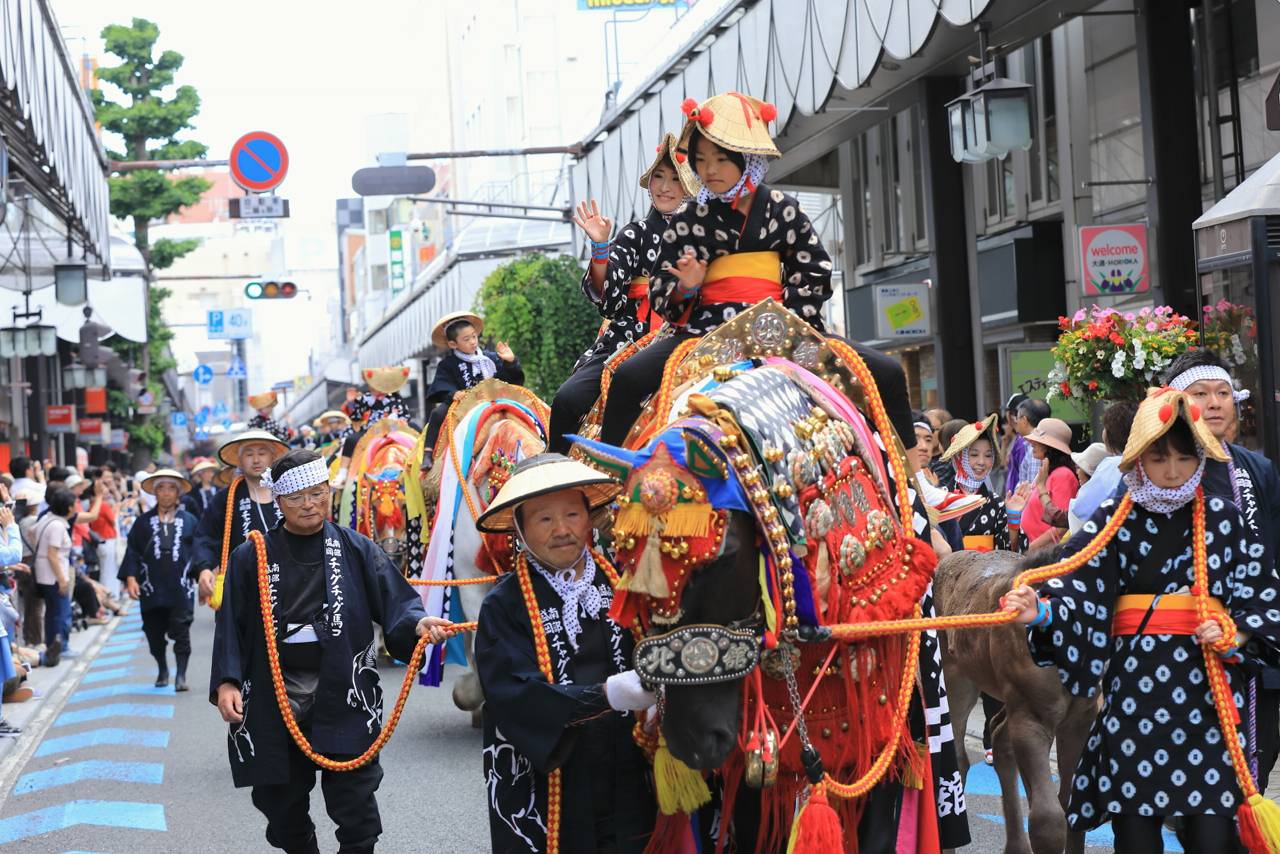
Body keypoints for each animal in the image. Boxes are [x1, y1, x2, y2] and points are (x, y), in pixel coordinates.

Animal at [931, 547, 1100, 854]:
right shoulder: (1032, 715)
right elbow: (1047, 820)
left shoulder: (1080, 718)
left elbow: (1070, 804)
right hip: (956, 680)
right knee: (957, 757)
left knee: (998, 736)